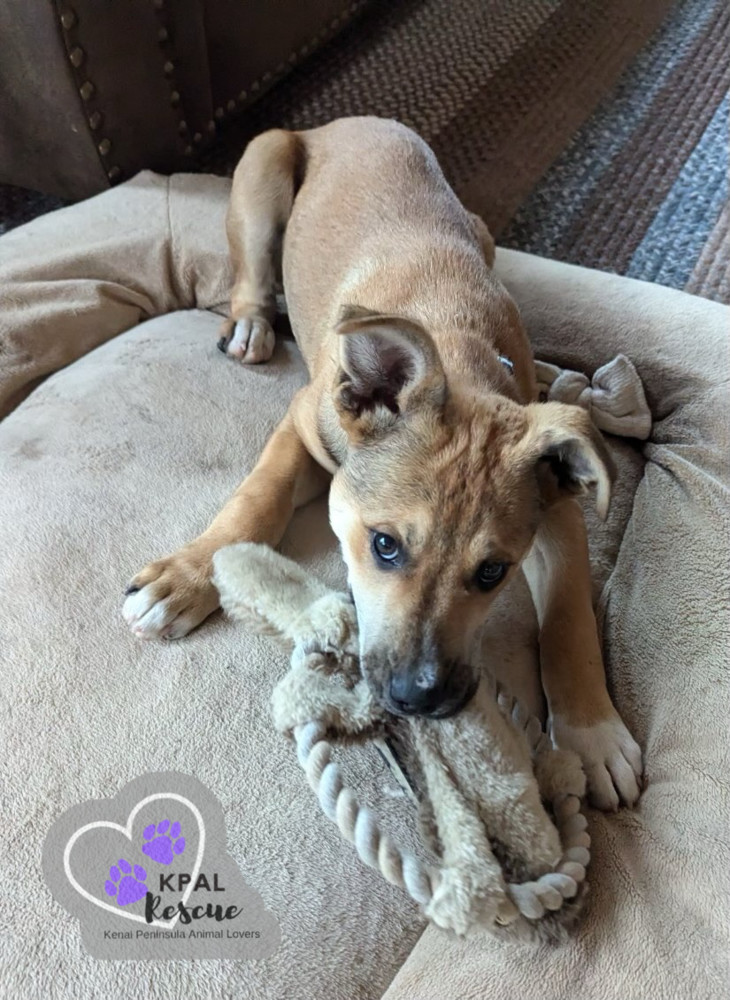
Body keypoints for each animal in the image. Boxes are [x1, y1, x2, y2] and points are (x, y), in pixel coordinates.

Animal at [125, 117, 644, 812]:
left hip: (479, 228)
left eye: (493, 572)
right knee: (251, 277)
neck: (455, 347)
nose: (421, 700)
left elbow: (568, 616)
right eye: (384, 545)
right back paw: (250, 327)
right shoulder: (302, 420)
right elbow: (258, 496)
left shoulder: (556, 510)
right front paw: (186, 577)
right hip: (263, 167)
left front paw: (594, 733)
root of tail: (349, 122)